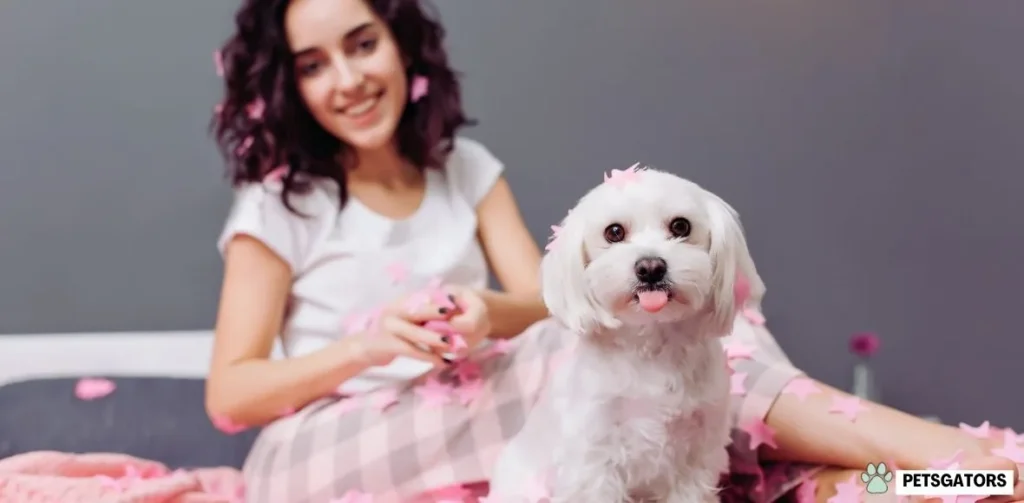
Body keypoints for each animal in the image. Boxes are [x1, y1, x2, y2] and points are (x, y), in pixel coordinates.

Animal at [489, 165, 770, 503]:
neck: (653, 345)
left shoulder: (696, 456)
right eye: (614, 232)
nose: (650, 267)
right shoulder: (594, 456)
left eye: (681, 226)